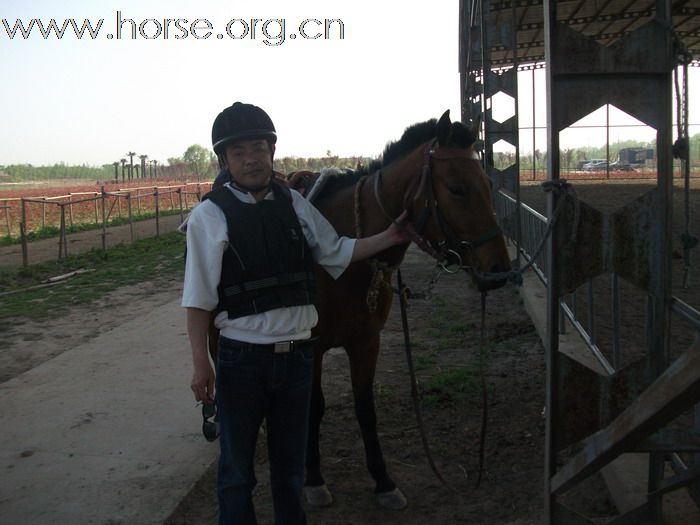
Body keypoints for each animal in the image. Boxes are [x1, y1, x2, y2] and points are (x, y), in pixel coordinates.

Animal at [300, 110, 508, 508]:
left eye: (490, 185)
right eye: (457, 189)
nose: (499, 271)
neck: (343, 251)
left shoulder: (367, 343)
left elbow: (366, 410)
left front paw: (384, 482)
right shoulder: (311, 347)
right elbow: (312, 406)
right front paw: (313, 480)